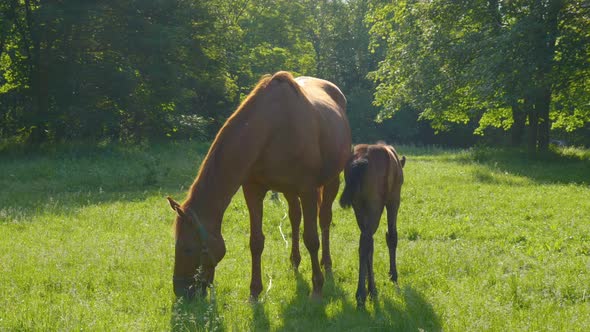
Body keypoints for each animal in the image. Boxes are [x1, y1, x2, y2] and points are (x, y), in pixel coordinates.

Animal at [168, 71, 352, 300]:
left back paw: (326, 264)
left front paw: (317, 287)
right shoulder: (253, 190)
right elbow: (256, 242)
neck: (272, 129)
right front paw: (254, 292)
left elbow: (312, 239)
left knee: (324, 219)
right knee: (295, 218)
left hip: (331, 181)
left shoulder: (308, 191)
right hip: (290, 191)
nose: (181, 291)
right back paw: (294, 262)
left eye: (187, 249)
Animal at [338, 141, 408, 308]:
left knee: (366, 241)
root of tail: (361, 160)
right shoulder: (393, 200)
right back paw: (361, 294)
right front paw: (393, 275)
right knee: (366, 241)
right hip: (375, 205)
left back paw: (369, 290)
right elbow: (392, 236)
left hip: (358, 207)